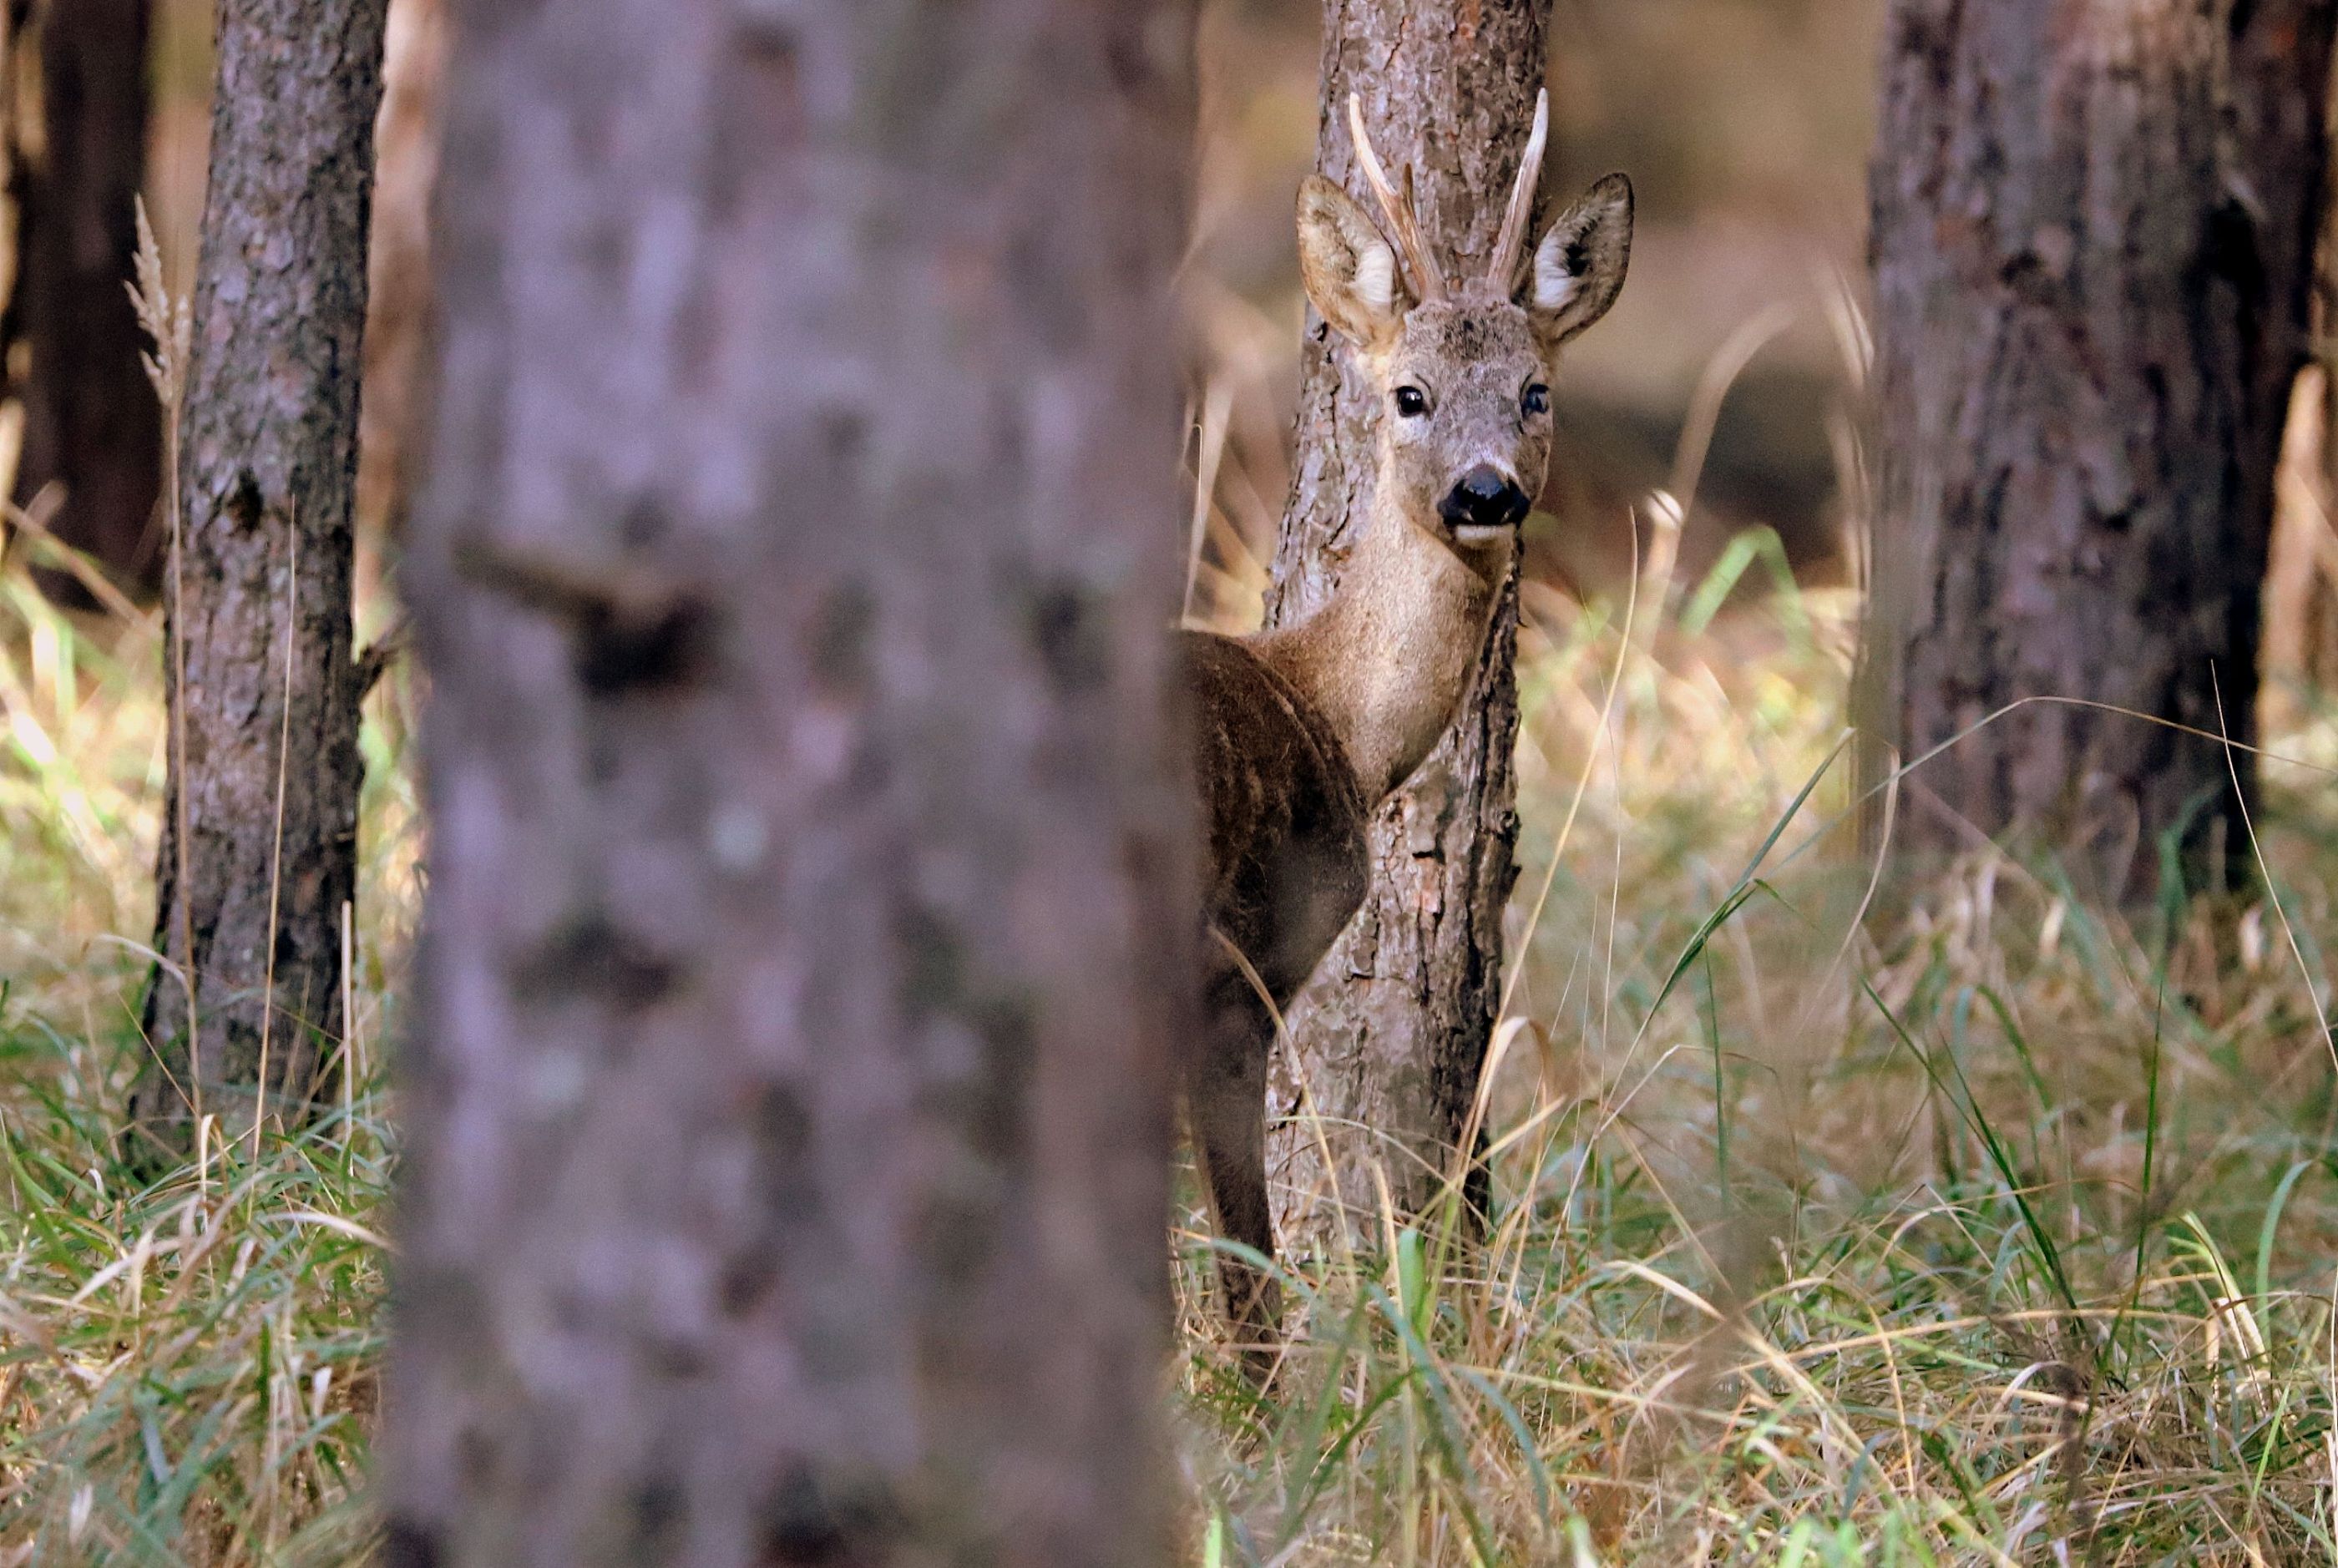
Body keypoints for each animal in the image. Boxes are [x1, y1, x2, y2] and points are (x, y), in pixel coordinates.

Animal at [1187, 92, 1627, 1364]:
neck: (1335, 718)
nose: (1484, 492)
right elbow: (1246, 1264)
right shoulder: (1231, 971)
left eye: (1535, 391)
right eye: (1409, 394)